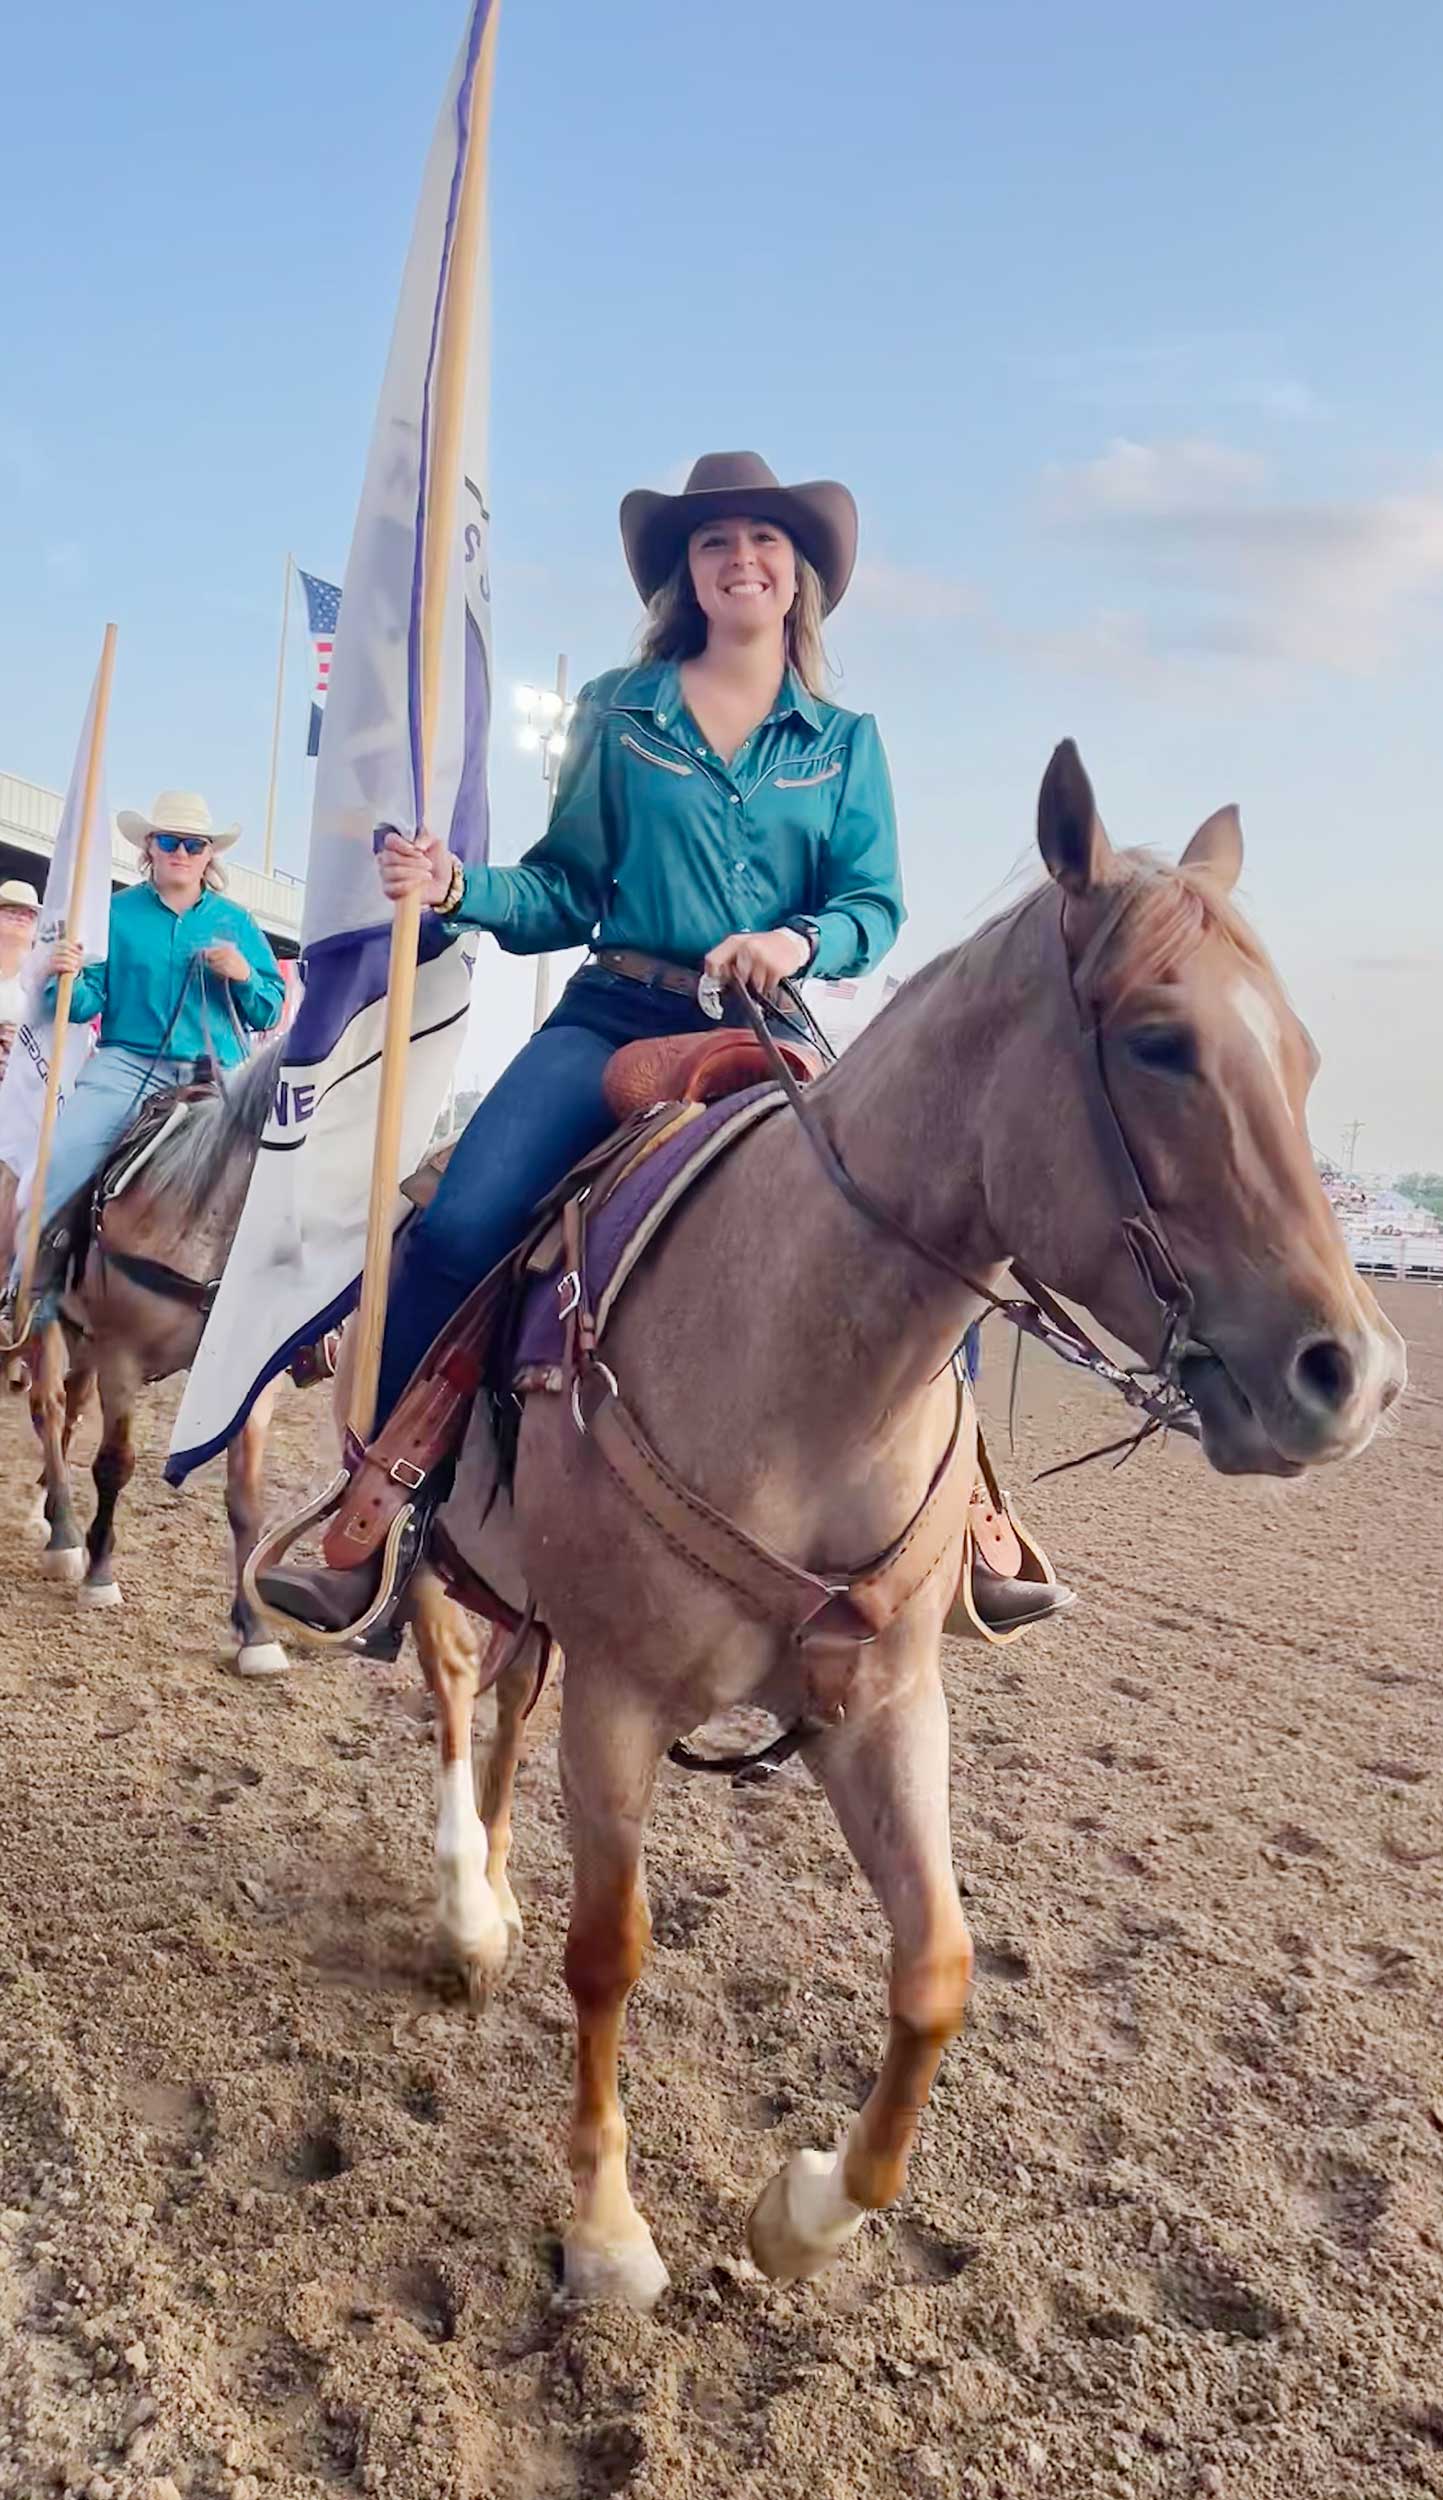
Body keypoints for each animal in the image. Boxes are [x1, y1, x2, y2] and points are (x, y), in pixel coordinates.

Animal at [17, 1037, 294, 1677]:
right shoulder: (122, 1355)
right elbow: (115, 1464)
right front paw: (99, 1574)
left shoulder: (254, 1382)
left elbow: (245, 1497)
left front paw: (256, 1631)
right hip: (48, 1323)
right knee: (49, 1407)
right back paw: (64, 1533)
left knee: (69, 1411)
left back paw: (48, 1503)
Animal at [375, 741, 1404, 2311]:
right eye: (1159, 1044)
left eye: (1298, 1057)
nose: (1354, 1376)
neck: (800, 1352)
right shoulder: (622, 1701)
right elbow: (611, 1950)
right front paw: (606, 2229)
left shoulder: (883, 1700)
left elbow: (937, 1967)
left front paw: (801, 2211)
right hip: (445, 1561)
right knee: (447, 1695)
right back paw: (467, 1912)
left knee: (498, 1714)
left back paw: (485, 1901)